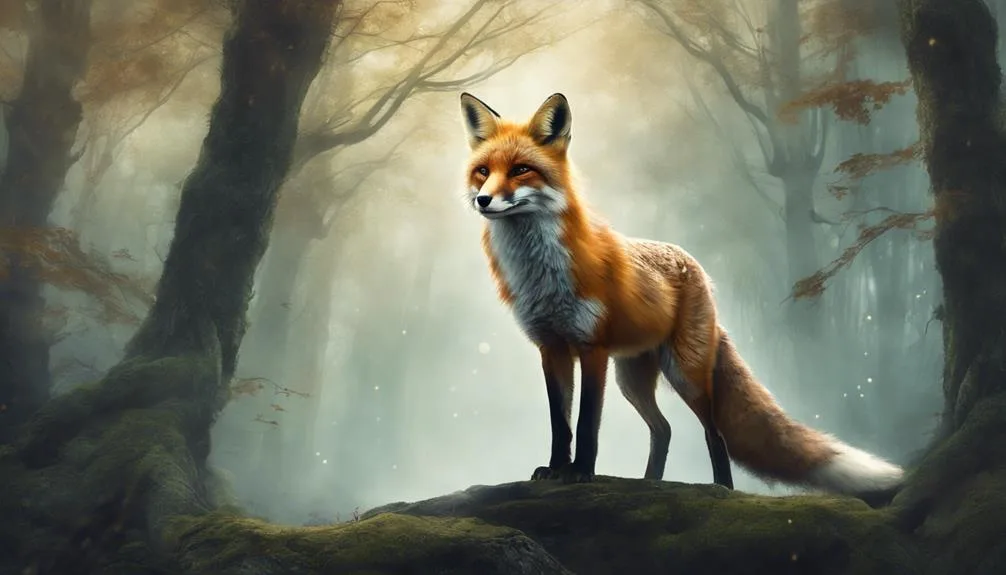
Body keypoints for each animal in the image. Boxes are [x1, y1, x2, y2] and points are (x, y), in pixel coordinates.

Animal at [458, 91, 905, 501]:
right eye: (482, 171)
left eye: (521, 170)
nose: (483, 200)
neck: (541, 273)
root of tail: (699, 270)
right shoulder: (551, 347)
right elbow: (560, 425)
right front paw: (555, 470)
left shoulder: (592, 347)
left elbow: (586, 425)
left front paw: (581, 472)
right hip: (632, 379)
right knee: (664, 429)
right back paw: (649, 484)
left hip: (684, 373)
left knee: (713, 433)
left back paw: (721, 490)